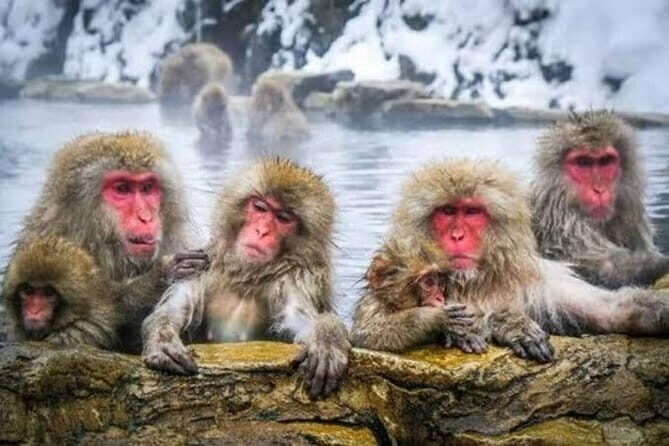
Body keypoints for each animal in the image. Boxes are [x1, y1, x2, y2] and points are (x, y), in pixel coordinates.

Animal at [142, 158, 350, 398]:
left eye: (283, 218)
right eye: (259, 208)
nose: (261, 231)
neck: (246, 276)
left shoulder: (294, 279)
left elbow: (298, 318)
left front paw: (327, 338)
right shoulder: (202, 265)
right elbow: (173, 310)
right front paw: (162, 341)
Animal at [352, 159, 669, 363]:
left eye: (471, 212)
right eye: (447, 211)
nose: (457, 235)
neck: (473, 283)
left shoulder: (543, 282)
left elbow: (610, 311)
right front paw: (499, 324)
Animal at [531, 110, 669, 289]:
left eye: (605, 161)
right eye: (583, 162)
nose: (599, 190)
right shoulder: (562, 226)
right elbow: (595, 264)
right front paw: (659, 265)